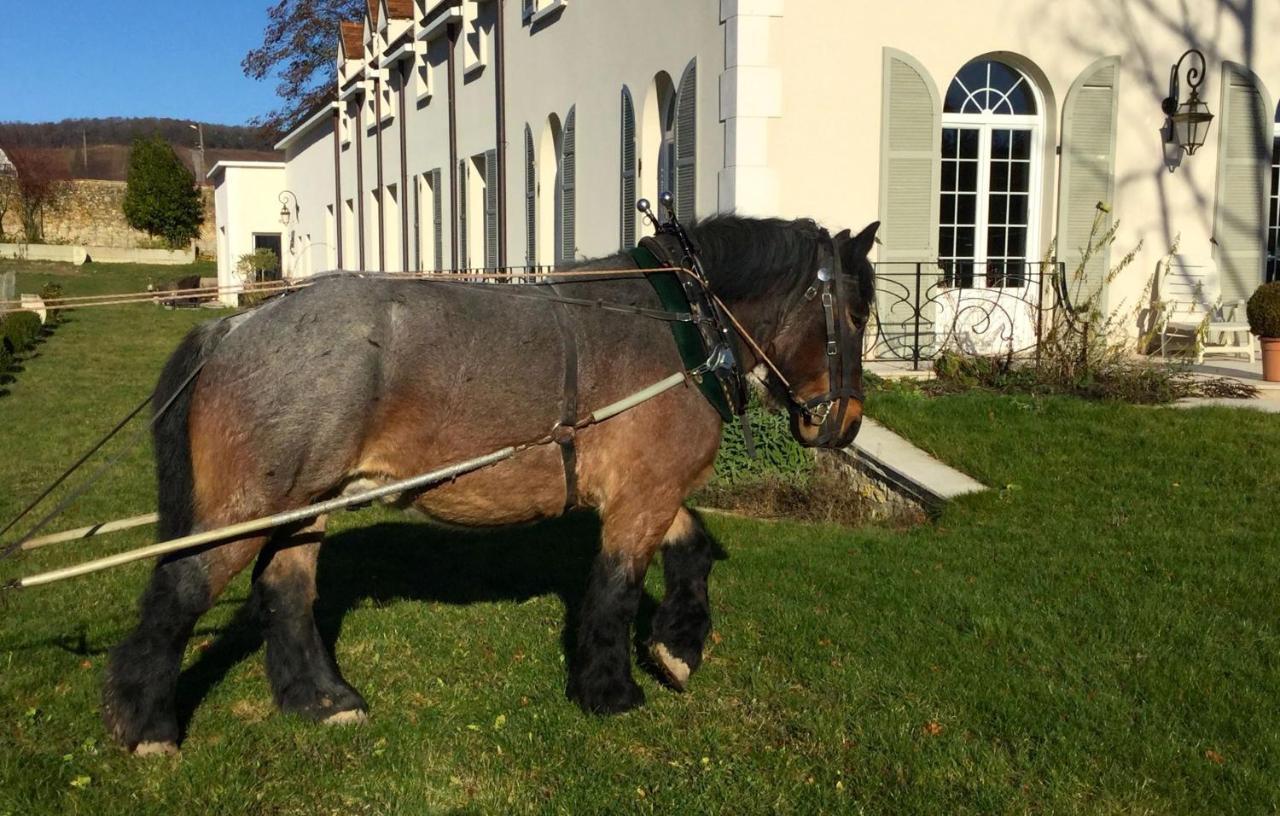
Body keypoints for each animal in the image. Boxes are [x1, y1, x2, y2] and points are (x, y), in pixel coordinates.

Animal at [102, 216, 880, 757]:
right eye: (854, 313)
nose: (845, 422)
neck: (684, 318)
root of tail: (233, 326)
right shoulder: (642, 496)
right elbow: (616, 591)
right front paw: (610, 690)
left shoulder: (648, 490)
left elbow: (691, 548)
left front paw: (678, 648)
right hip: (253, 506)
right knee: (180, 591)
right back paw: (148, 725)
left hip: (305, 503)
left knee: (286, 590)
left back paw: (320, 699)